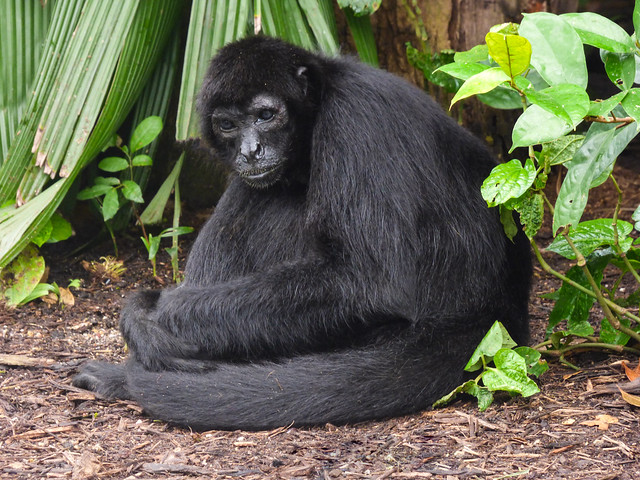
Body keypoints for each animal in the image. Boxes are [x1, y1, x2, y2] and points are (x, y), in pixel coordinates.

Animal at [74, 35, 528, 430]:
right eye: (227, 124)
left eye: (266, 116)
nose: (250, 150)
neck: (325, 96)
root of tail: (493, 306)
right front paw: (142, 319)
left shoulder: (357, 121)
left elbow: (374, 283)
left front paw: (157, 314)